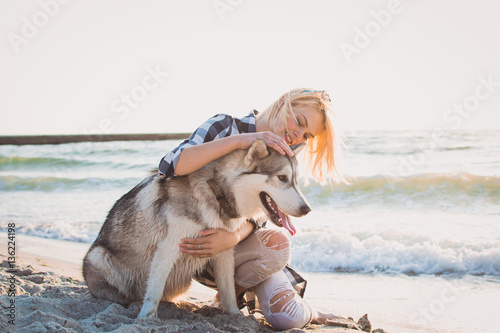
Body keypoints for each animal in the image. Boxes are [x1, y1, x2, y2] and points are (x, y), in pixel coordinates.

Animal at [83, 139, 308, 316]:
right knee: (127, 294)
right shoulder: (168, 248)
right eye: (282, 178)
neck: (217, 193)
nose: (307, 209)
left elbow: (228, 290)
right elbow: (154, 291)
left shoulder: (224, 251)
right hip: (99, 256)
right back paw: (134, 302)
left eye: (296, 180)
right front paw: (146, 318)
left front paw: (235, 316)